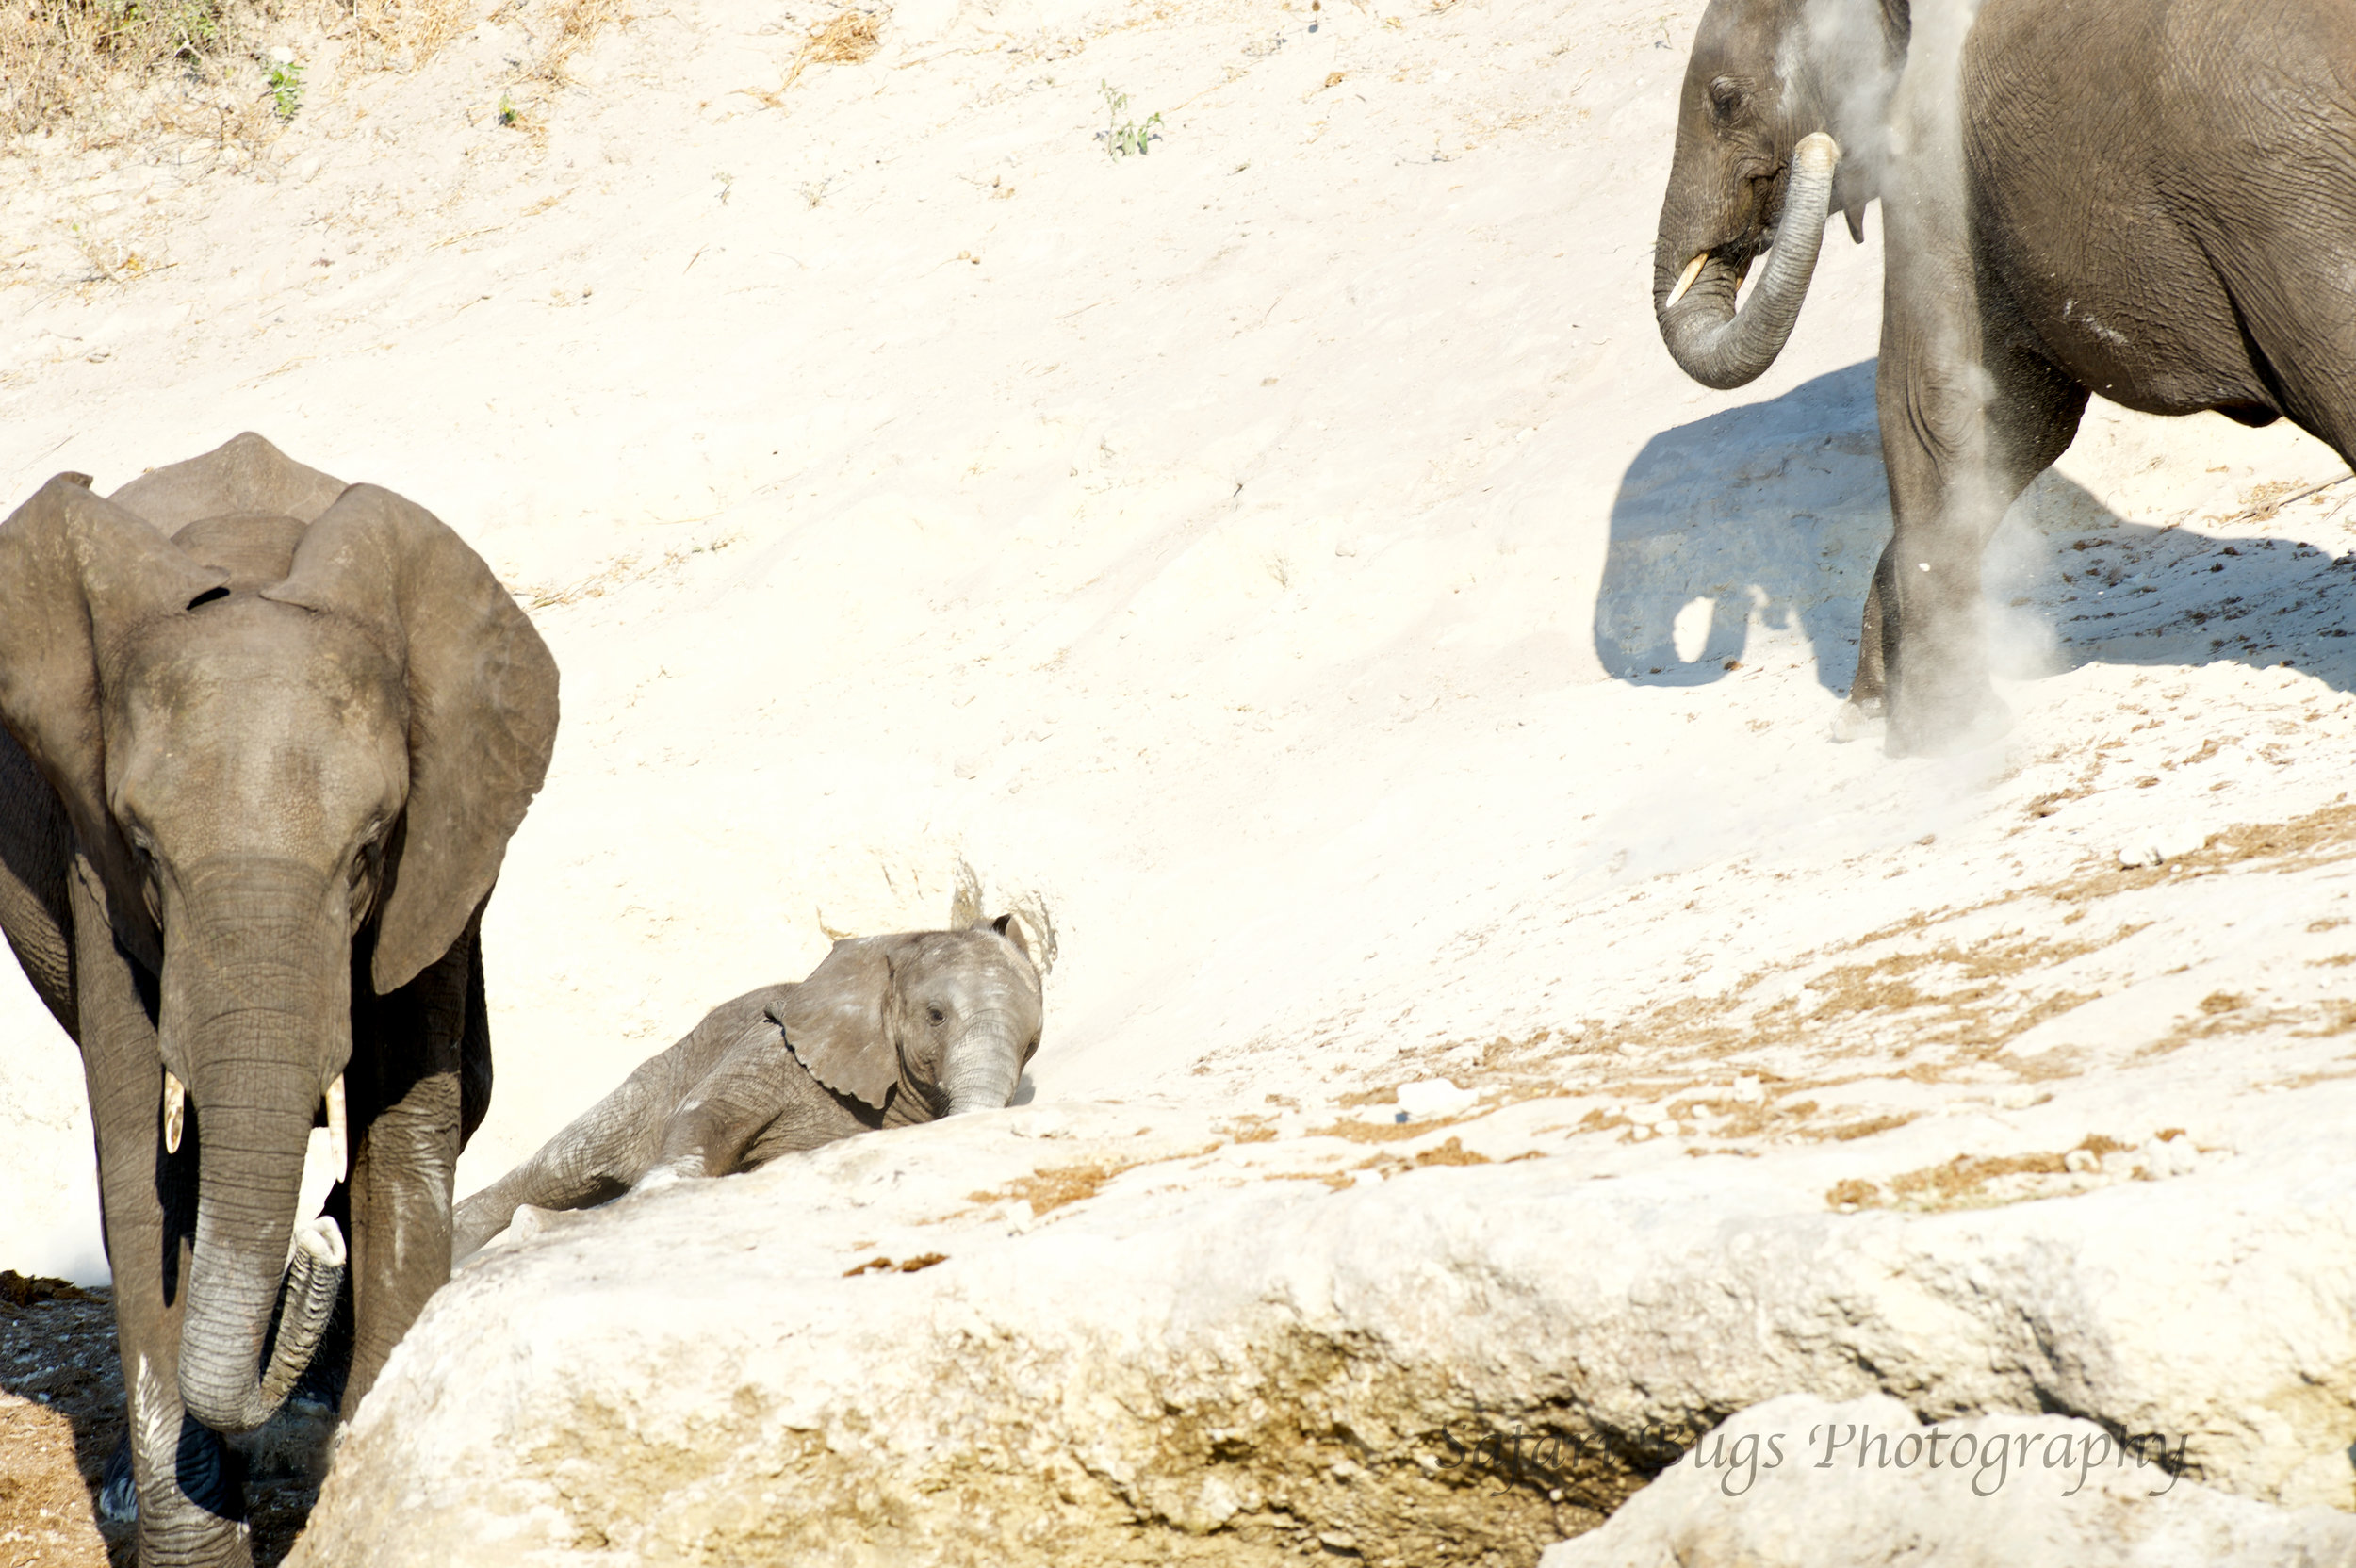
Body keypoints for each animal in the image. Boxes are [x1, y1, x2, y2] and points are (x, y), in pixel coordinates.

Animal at [454, 918, 1046, 1262]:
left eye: (1032, 1042)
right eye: (936, 1015)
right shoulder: (772, 1043)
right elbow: (707, 1116)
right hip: (660, 1073)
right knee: (569, 1162)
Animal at [1649, 0, 2356, 753]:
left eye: (1725, 100)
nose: (1816, 150)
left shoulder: (1933, 146)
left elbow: (1931, 408)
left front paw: (1942, 739)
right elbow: (2018, 418)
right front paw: (1873, 717)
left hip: (2287, 208)